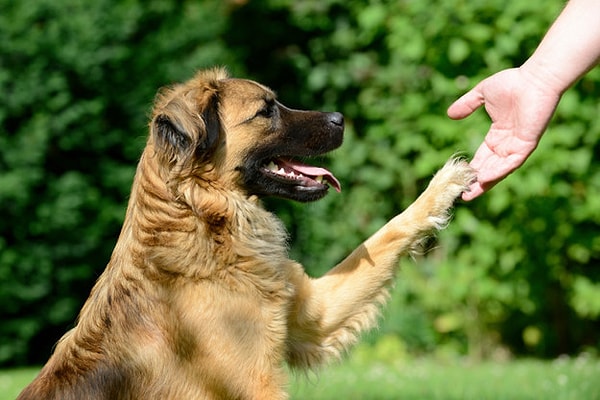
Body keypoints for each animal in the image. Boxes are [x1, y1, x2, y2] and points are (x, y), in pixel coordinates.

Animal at [18, 67, 476, 398]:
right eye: (266, 110)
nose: (340, 118)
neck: (202, 222)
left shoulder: (313, 316)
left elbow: (387, 233)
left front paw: (444, 185)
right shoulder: (257, 385)